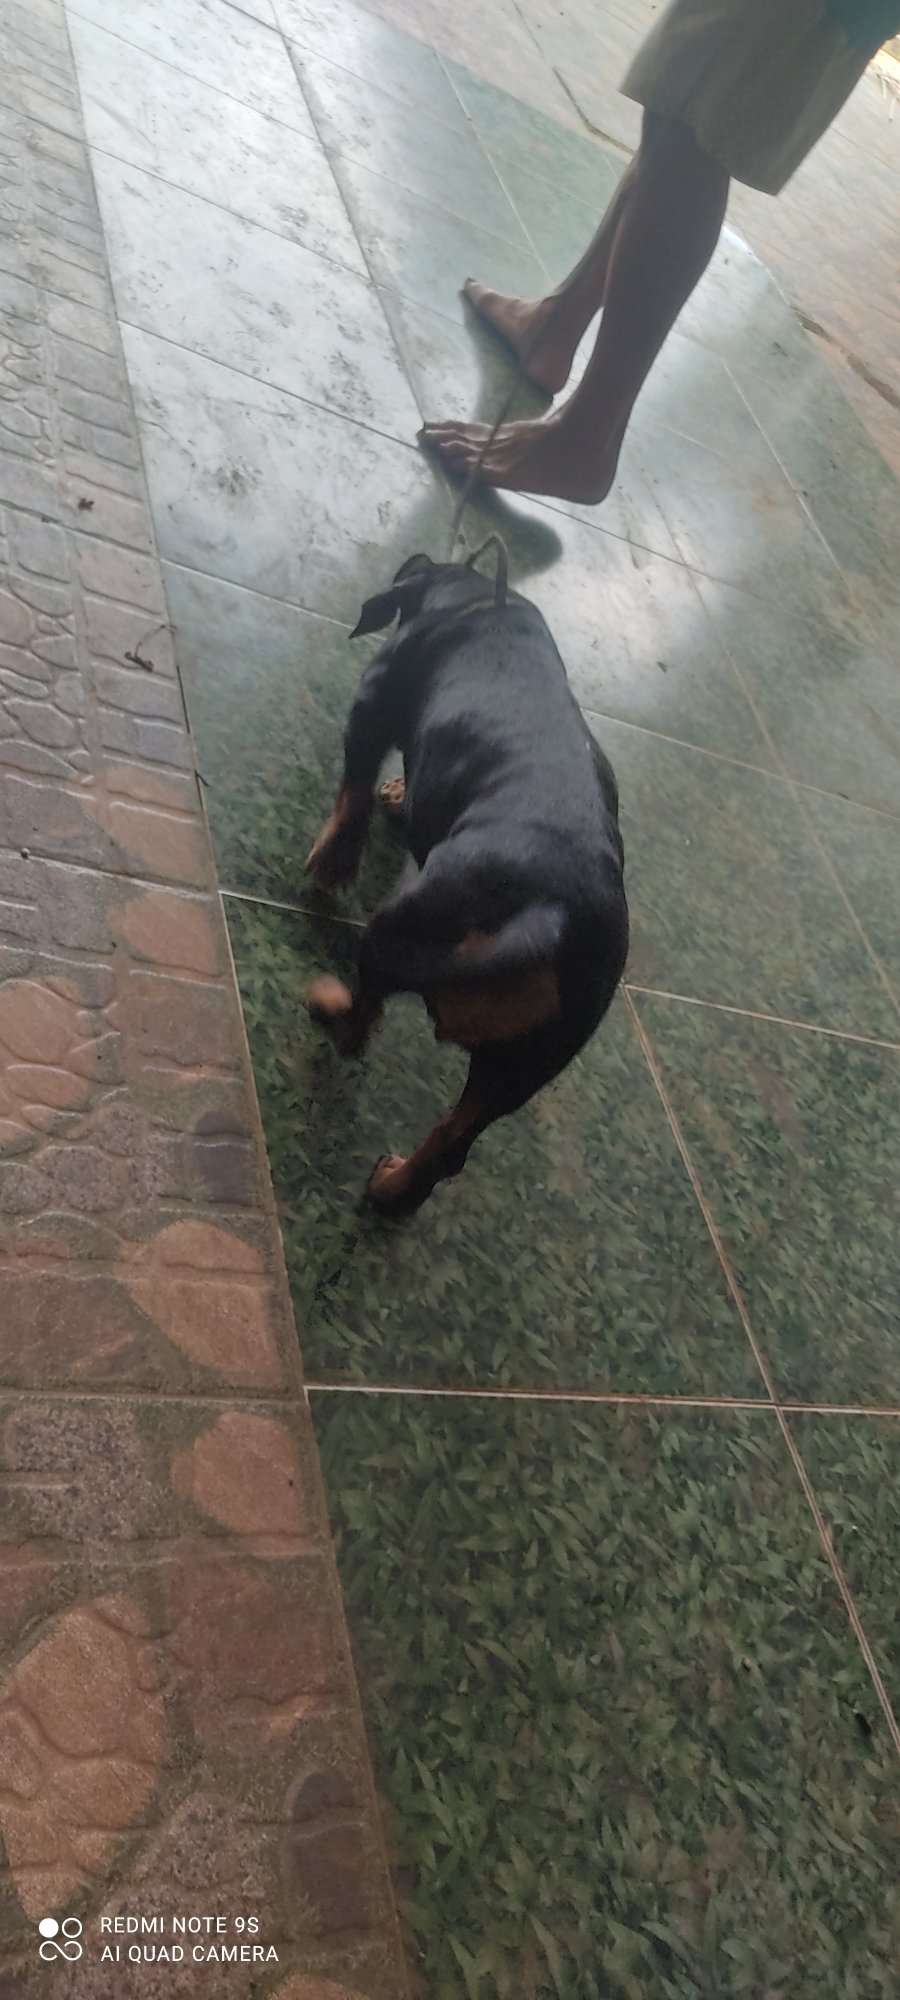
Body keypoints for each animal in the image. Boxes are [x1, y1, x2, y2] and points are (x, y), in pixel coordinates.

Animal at [305, 550, 629, 1218]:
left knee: (362, 1021)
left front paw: (334, 861)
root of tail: (552, 912)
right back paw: (393, 1189)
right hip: (518, 1070)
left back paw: (329, 1005)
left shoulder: (373, 700)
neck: (473, 595)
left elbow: (353, 791)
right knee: (452, 1146)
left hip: (397, 927)